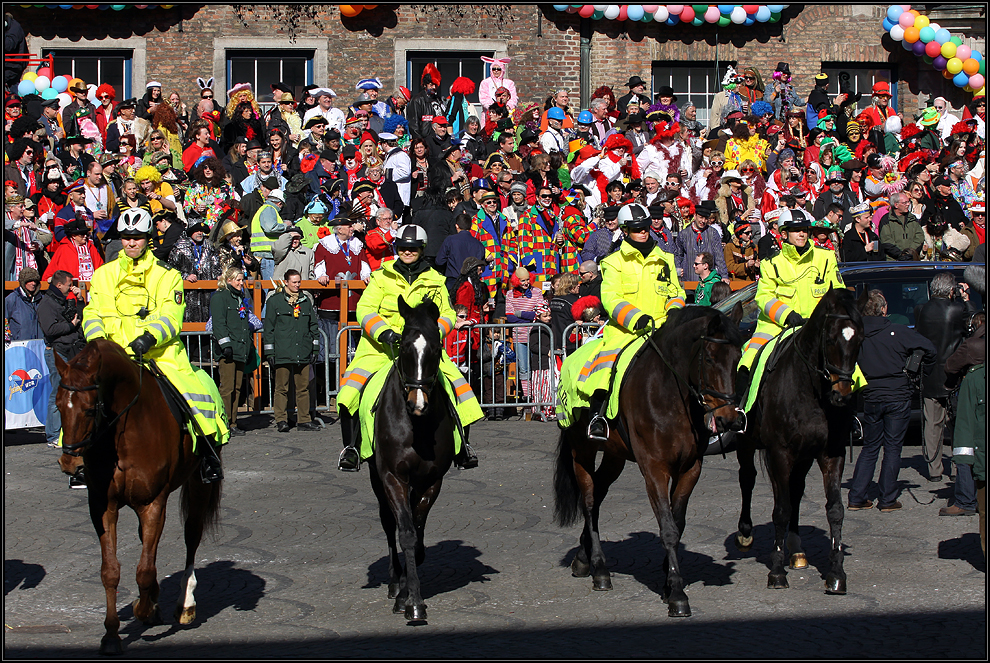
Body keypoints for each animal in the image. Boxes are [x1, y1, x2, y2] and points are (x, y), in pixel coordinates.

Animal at [54, 340, 223, 656]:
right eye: (58, 405)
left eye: (89, 409)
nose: (70, 463)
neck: (124, 432)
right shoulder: (103, 506)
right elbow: (110, 571)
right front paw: (111, 635)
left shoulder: (153, 503)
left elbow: (144, 570)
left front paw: (144, 609)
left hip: (199, 484)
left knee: (191, 535)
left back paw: (185, 603)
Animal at [370, 296, 460, 624]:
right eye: (405, 347)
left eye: (435, 348)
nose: (417, 404)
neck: (416, 427)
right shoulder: (392, 477)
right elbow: (406, 533)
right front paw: (411, 601)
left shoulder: (432, 480)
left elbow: (418, 536)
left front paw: (411, 593)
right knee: (388, 524)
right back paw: (395, 584)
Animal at [556, 306, 748, 616]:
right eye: (709, 358)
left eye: (738, 357)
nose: (728, 419)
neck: (671, 396)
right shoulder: (655, 469)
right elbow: (668, 529)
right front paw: (678, 594)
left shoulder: (690, 469)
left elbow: (677, 524)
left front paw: (669, 581)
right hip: (582, 451)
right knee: (589, 501)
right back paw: (599, 569)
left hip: (615, 456)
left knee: (599, 493)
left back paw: (583, 559)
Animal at [736, 288, 868, 592]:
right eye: (830, 338)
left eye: (860, 338)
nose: (842, 394)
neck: (810, 391)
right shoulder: (780, 452)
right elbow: (781, 510)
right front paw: (776, 571)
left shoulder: (831, 453)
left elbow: (835, 509)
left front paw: (836, 572)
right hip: (748, 445)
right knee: (748, 478)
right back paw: (746, 532)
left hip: (804, 455)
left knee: (795, 490)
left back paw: (796, 551)